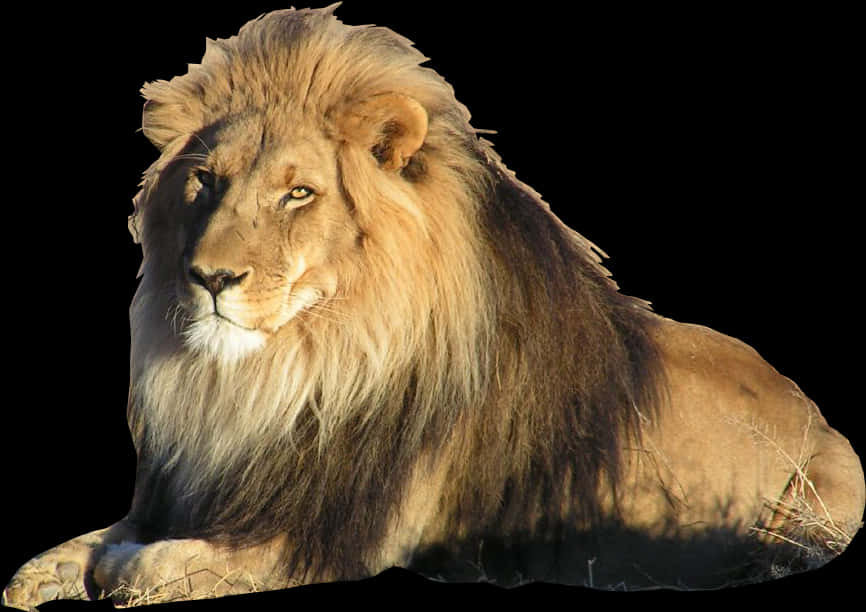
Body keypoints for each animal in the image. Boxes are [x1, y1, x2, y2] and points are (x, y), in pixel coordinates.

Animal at [4, 5, 864, 608]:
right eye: (205, 181)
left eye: (298, 193)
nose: (209, 277)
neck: (285, 375)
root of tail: (811, 405)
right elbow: (97, 537)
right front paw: (45, 569)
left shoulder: (334, 537)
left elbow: (161, 563)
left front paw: (124, 570)